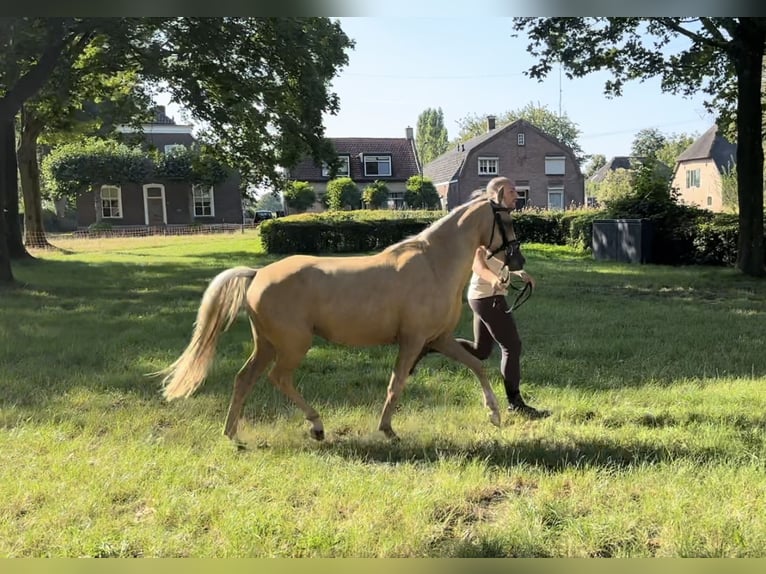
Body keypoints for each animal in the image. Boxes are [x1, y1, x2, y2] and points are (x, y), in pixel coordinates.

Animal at [158, 198, 524, 446]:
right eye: (505, 220)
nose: (518, 259)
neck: (434, 265)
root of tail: (258, 273)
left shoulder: (439, 340)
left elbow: (477, 366)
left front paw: (494, 414)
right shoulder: (413, 341)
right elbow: (396, 384)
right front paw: (388, 430)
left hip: (266, 345)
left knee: (244, 379)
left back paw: (232, 434)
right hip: (294, 345)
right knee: (279, 378)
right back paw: (316, 426)